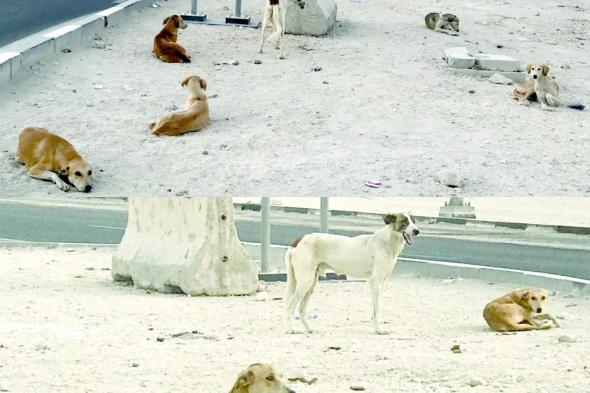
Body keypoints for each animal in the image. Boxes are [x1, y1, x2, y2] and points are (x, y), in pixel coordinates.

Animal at [284, 213, 418, 332]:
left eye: (413, 221)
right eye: (404, 221)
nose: (417, 231)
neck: (388, 242)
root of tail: (299, 239)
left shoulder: (382, 282)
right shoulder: (375, 281)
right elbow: (376, 310)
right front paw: (378, 330)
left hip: (311, 284)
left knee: (301, 309)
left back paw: (309, 329)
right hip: (305, 282)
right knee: (290, 307)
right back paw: (291, 330)